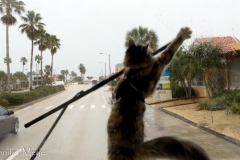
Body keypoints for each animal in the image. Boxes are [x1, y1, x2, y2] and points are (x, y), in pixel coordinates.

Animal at [107, 26, 210, 159]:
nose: (150, 48)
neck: (135, 69)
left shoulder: (121, 82)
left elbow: (116, 89)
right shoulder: (159, 63)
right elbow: (170, 49)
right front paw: (182, 34)